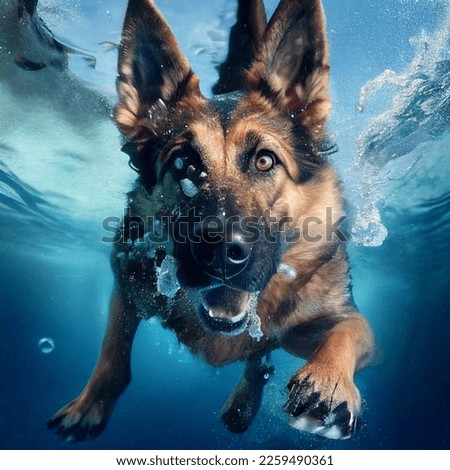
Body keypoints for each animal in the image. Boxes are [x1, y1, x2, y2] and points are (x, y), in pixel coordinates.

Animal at [47, 0, 374, 440]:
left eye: (265, 160)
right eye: (183, 164)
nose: (220, 252)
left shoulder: (329, 319)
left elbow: (348, 331)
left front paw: (330, 380)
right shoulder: (130, 281)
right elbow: (113, 353)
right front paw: (90, 405)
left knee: (260, 359)